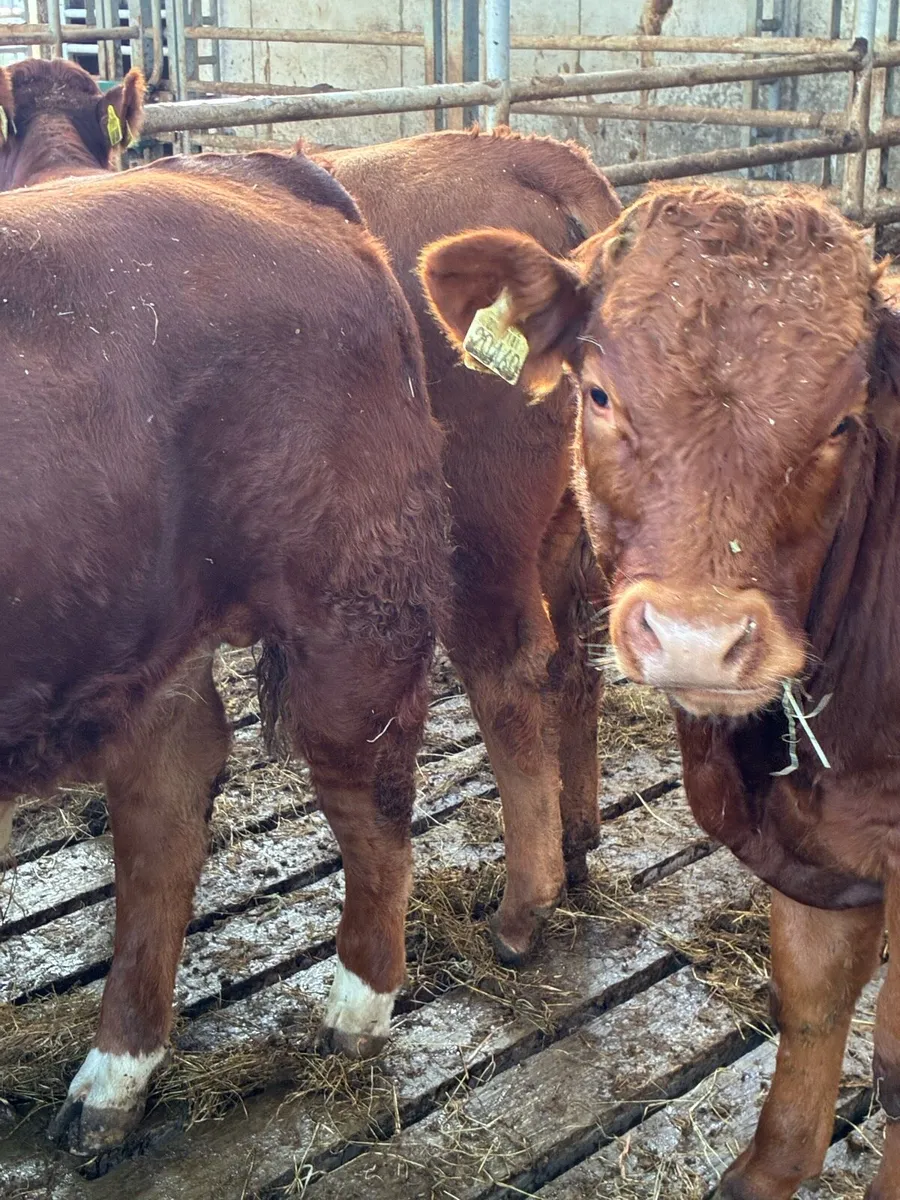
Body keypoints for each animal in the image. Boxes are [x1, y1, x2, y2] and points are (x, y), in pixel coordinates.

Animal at [0, 154, 447, 1154]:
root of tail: (257, 171)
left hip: (353, 616)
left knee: (374, 805)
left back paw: (354, 1017)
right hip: (151, 633)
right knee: (166, 814)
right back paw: (113, 1083)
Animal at [419, 185, 900, 1199]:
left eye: (844, 423)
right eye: (599, 393)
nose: (697, 639)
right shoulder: (823, 854)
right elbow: (809, 1005)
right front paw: (765, 1173)